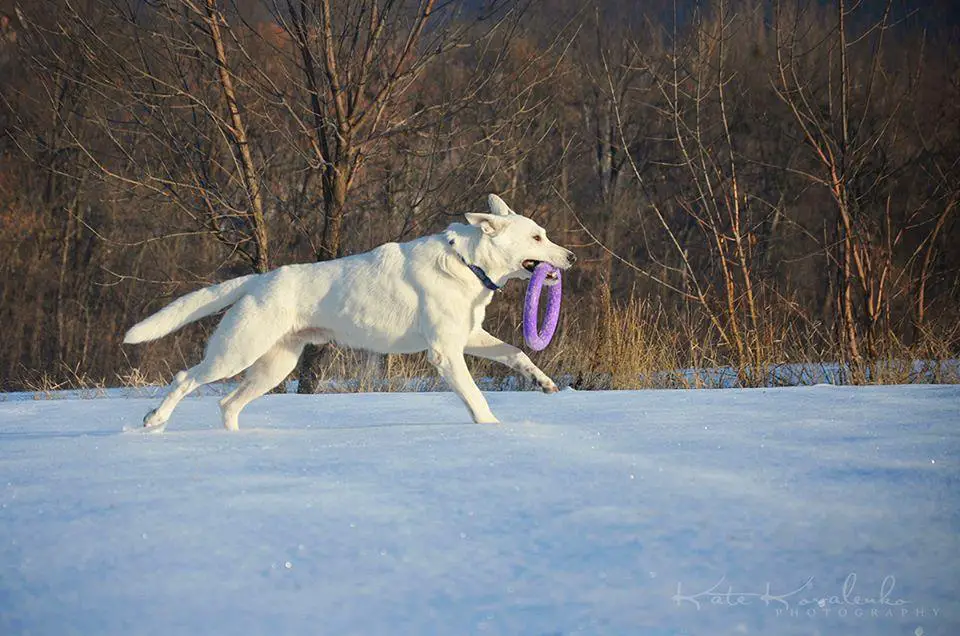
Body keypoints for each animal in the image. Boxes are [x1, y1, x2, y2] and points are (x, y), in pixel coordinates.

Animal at [124, 194, 576, 431]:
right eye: (537, 237)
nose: (571, 257)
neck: (468, 263)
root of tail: (257, 280)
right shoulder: (446, 352)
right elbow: (476, 397)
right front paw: (493, 431)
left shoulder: (469, 337)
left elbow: (516, 352)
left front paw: (543, 383)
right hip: (236, 352)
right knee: (185, 379)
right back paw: (154, 419)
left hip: (275, 366)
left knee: (228, 404)